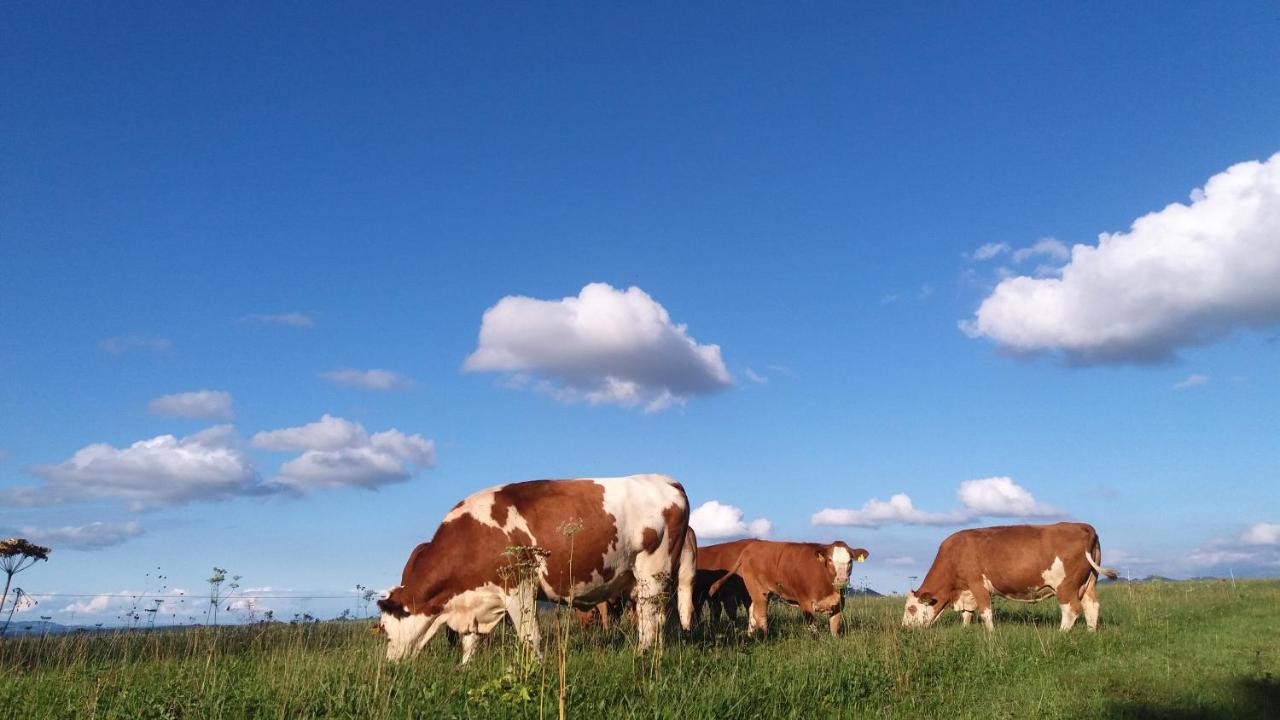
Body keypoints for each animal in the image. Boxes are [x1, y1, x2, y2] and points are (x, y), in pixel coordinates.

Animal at [376, 471, 696, 661]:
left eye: (386, 630)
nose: (390, 665)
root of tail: (666, 480)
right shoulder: (477, 598)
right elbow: (470, 641)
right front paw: (464, 668)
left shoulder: (519, 586)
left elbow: (530, 634)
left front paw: (535, 667)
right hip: (636, 578)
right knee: (653, 616)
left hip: (653, 570)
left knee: (650, 616)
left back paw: (642, 653)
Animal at [696, 538, 865, 632]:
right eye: (830, 560)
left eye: (850, 561)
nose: (842, 578)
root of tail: (750, 547)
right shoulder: (805, 603)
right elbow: (813, 630)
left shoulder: (838, 605)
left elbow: (835, 630)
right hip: (759, 592)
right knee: (760, 616)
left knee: (752, 613)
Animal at [901, 520, 1121, 627]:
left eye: (911, 609)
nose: (904, 627)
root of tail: (1083, 526)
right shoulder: (966, 592)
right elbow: (967, 614)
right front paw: (965, 631)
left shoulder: (977, 584)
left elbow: (985, 613)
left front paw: (990, 637)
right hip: (1090, 582)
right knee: (1092, 607)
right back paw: (1091, 633)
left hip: (1066, 585)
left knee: (1071, 609)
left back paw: (1061, 635)